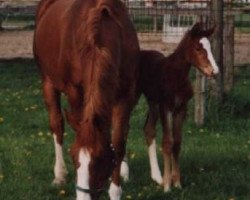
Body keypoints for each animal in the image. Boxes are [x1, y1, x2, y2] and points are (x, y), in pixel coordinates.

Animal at [139, 23, 219, 192]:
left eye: (210, 47)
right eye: (198, 48)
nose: (214, 71)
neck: (176, 76)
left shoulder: (181, 109)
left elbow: (177, 143)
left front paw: (177, 183)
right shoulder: (166, 107)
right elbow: (167, 142)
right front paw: (167, 186)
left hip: (152, 102)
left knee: (148, 129)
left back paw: (157, 177)